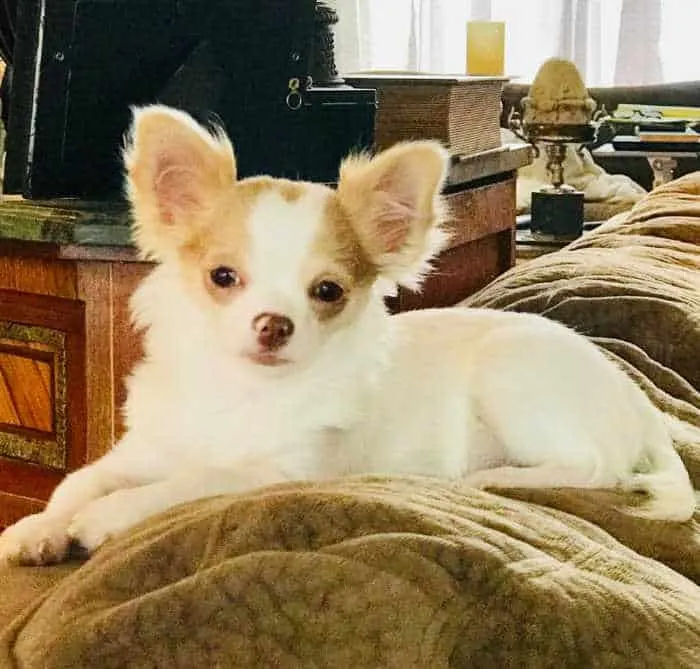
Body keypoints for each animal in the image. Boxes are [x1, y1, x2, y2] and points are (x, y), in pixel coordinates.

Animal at [0, 105, 692, 564]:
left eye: (327, 292)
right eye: (223, 277)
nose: (273, 325)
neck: (242, 391)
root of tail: (636, 399)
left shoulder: (277, 472)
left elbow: (184, 485)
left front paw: (104, 519)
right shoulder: (145, 451)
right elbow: (79, 480)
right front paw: (39, 528)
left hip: (513, 375)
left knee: (597, 469)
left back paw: (493, 480)